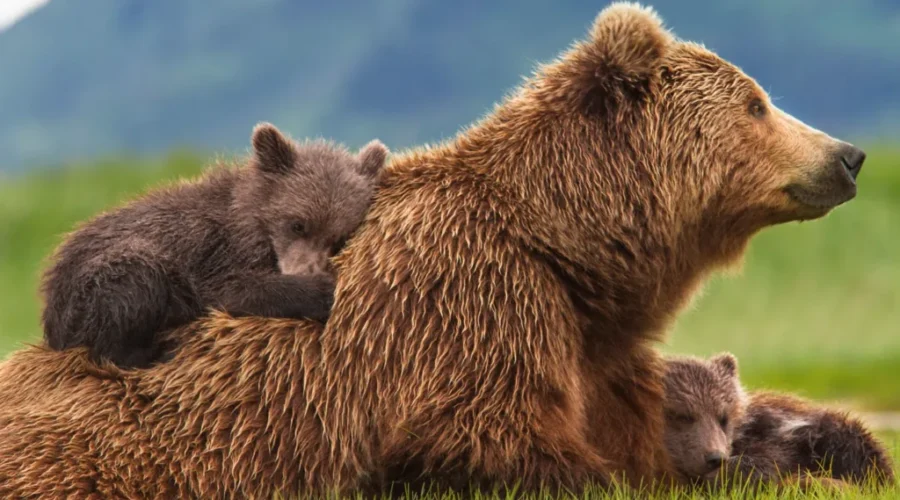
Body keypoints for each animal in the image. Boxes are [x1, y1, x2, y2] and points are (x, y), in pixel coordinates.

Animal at [40, 122, 388, 368]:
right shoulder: (215, 252)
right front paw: (320, 290)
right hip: (97, 283)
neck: (252, 222)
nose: (306, 270)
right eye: (298, 223)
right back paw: (156, 351)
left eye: (338, 237)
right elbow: (232, 290)